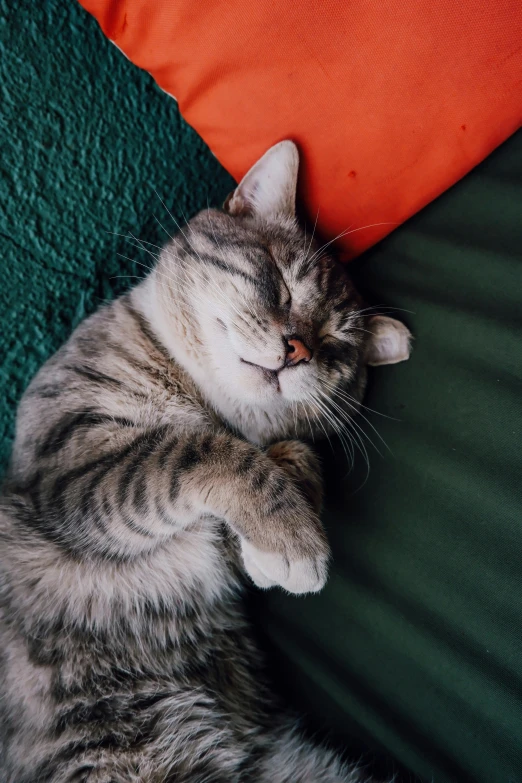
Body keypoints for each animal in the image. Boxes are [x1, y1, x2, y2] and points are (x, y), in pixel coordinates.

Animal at [0, 142, 410, 783]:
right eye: (281, 285)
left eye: (337, 346)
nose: (298, 350)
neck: (205, 401)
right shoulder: (71, 467)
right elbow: (199, 452)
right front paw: (293, 535)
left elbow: (293, 453)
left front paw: (282, 531)